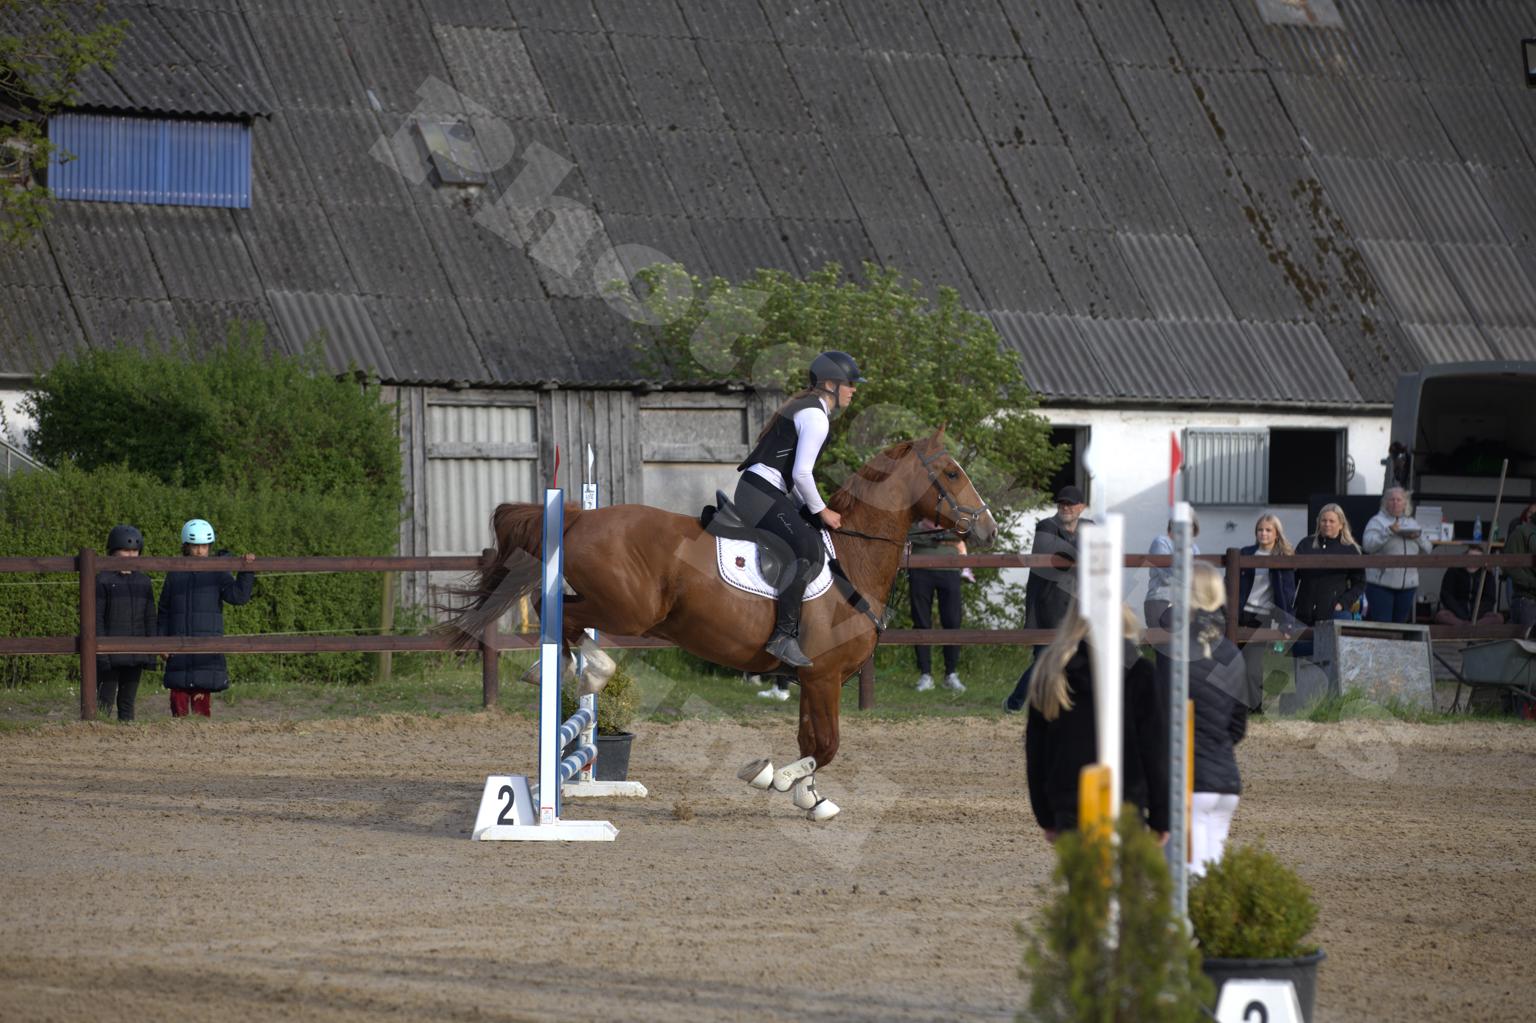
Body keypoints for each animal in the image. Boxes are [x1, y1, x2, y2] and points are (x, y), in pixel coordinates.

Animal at [447, 429, 997, 820]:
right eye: (951, 473)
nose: (988, 529)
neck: (854, 556)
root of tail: (583, 516)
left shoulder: (813, 681)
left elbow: (813, 742)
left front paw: (810, 798)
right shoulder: (823, 677)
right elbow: (826, 746)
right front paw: (772, 778)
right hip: (630, 609)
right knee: (557, 613)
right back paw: (577, 669)